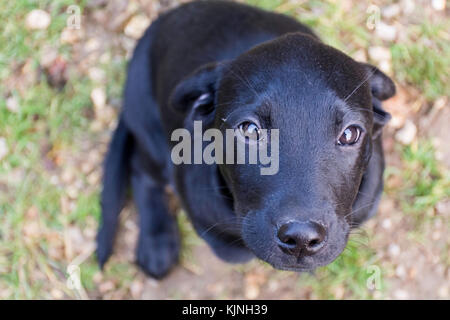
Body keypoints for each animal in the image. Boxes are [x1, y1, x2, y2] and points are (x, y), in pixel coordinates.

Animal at [96, 0, 396, 278]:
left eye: (350, 134)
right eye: (249, 130)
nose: (301, 239)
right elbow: (236, 249)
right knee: (141, 168)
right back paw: (157, 242)